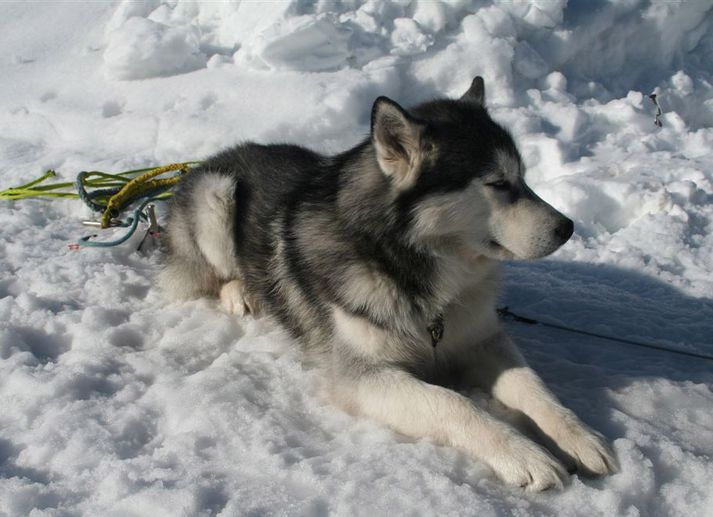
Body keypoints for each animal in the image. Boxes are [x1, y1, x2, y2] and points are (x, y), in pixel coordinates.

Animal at [159, 77, 616, 492]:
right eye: (498, 183)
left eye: (523, 178)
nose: (567, 228)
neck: (414, 271)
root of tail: (210, 159)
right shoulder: (363, 375)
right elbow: (451, 402)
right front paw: (521, 453)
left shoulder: (481, 338)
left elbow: (534, 387)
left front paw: (579, 435)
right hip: (216, 196)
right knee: (213, 273)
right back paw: (241, 292)